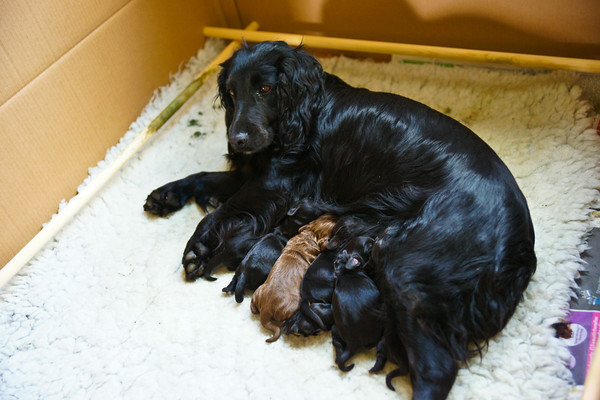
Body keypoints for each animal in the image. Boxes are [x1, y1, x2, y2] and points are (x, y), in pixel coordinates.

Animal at [247, 214, 336, 342]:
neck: (311, 234)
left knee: (253, 307)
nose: (334, 214)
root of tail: (265, 310)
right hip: (295, 305)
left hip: (257, 291)